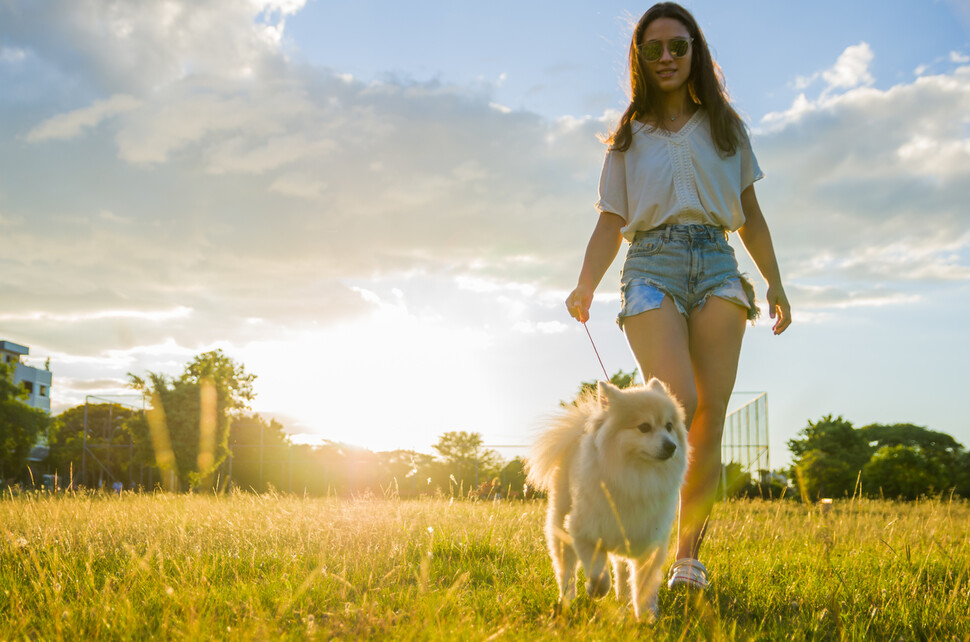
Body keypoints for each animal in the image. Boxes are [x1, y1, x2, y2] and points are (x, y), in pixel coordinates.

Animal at [524, 378, 684, 616]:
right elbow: (598, 573)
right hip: (561, 525)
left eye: (669, 426)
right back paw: (567, 600)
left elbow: (644, 585)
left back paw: (623, 597)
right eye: (644, 427)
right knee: (566, 570)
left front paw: (646, 616)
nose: (671, 446)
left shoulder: (649, 542)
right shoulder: (583, 532)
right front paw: (596, 590)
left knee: (620, 567)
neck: (637, 477)